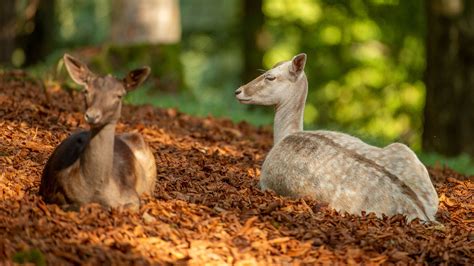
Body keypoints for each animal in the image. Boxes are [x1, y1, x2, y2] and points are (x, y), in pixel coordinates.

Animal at [39, 54, 157, 211]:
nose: (92, 115)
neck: (95, 191)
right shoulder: (54, 192)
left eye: (119, 95)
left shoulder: (130, 194)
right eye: (86, 91)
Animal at [235, 53, 438, 221]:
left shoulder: (265, 181)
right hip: (404, 150)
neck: (285, 135)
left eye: (270, 77)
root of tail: (422, 212)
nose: (238, 91)